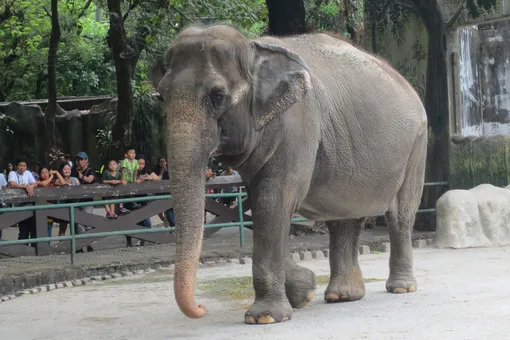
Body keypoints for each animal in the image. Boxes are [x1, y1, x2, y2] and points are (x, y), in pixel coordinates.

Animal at [150, 23, 426, 324]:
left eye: (217, 96)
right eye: (161, 96)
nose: (201, 308)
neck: (252, 48)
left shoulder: (298, 125)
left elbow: (274, 200)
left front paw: (265, 317)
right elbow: (263, 204)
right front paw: (303, 292)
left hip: (417, 144)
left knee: (400, 215)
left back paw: (401, 288)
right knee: (344, 217)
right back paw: (342, 296)